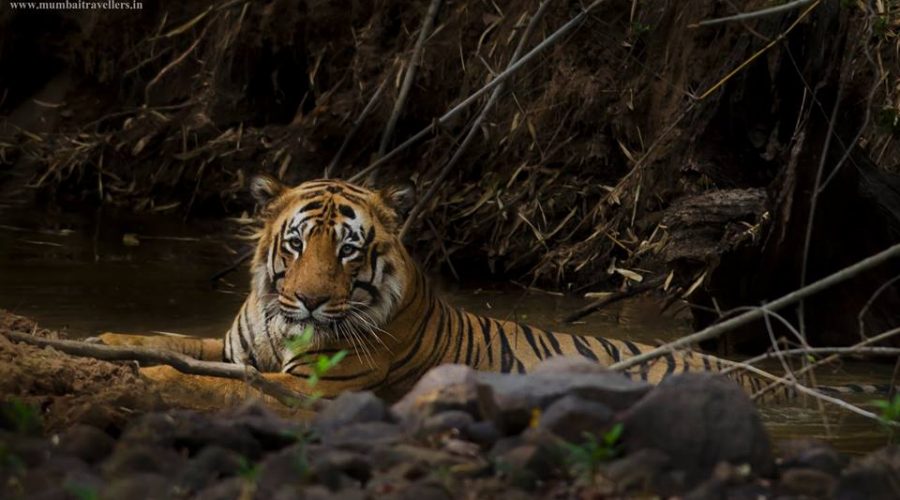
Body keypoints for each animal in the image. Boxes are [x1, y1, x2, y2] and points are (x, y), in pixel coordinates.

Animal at [93, 176, 816, 402]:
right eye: (296, 243)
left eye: (347, 249)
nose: (310, 300)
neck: (281, 325)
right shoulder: (236, 347)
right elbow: (166, 340)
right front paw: (102, 339)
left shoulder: (320, 385)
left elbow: (208, 380)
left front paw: (149, 377)